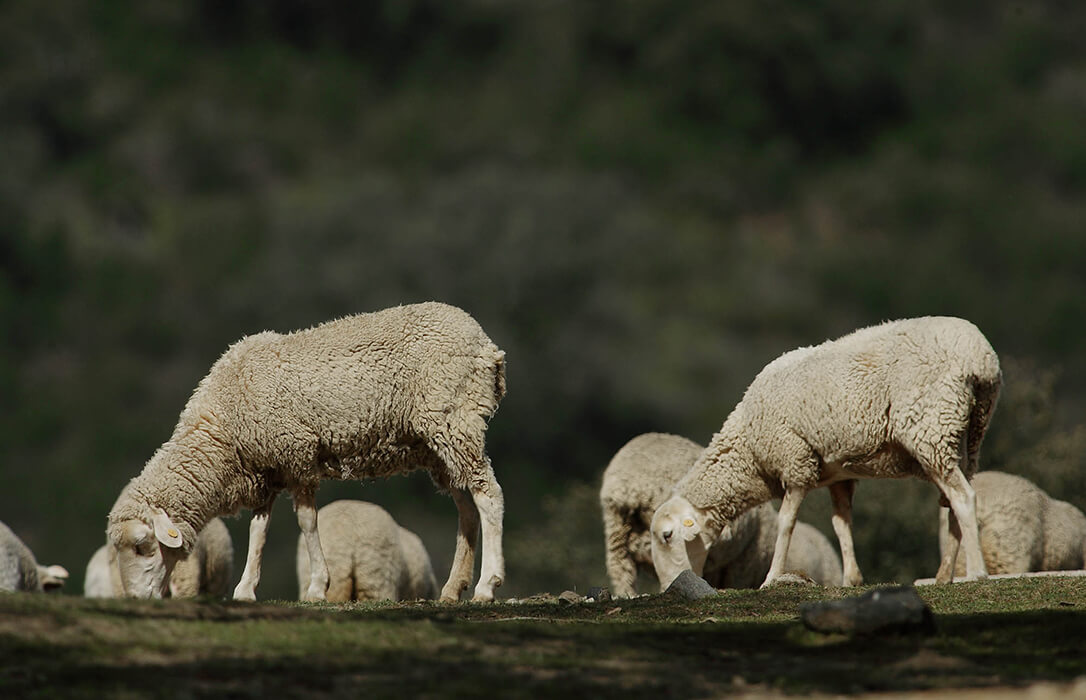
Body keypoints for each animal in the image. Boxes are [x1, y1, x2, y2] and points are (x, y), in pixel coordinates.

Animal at [642, 316, 999, 590]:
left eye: (667, 536)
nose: (670, 587)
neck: (749, 448)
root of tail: (980, 357)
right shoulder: (837, 475)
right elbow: (841, 523)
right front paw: (851, 579)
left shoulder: (795, 461)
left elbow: (786, 523)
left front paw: (771, 578)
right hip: (966, 436)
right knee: (953, 503)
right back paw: (943, 576)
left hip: (931, 427)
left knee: (964, 498)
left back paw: (976, 573)